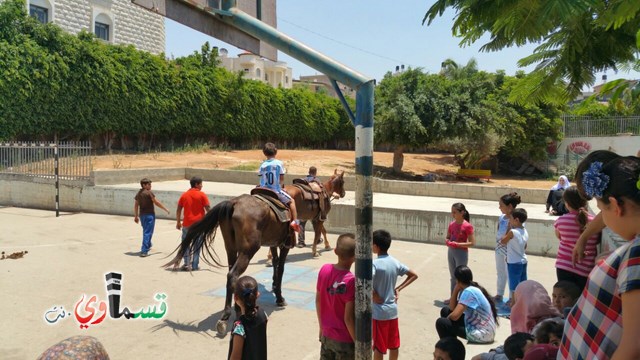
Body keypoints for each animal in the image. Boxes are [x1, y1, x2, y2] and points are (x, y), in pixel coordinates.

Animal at [164, 193, 296, 336]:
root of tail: (234, 203)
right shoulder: (284, 245)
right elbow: (281, 269)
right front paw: (280, 298)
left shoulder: (273, 243)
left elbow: (275, 264)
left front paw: (275, 288)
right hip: (247, 250)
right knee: (233, 275)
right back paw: (228, 314)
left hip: (231, 248)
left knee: (232, 276)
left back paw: (237, 310)